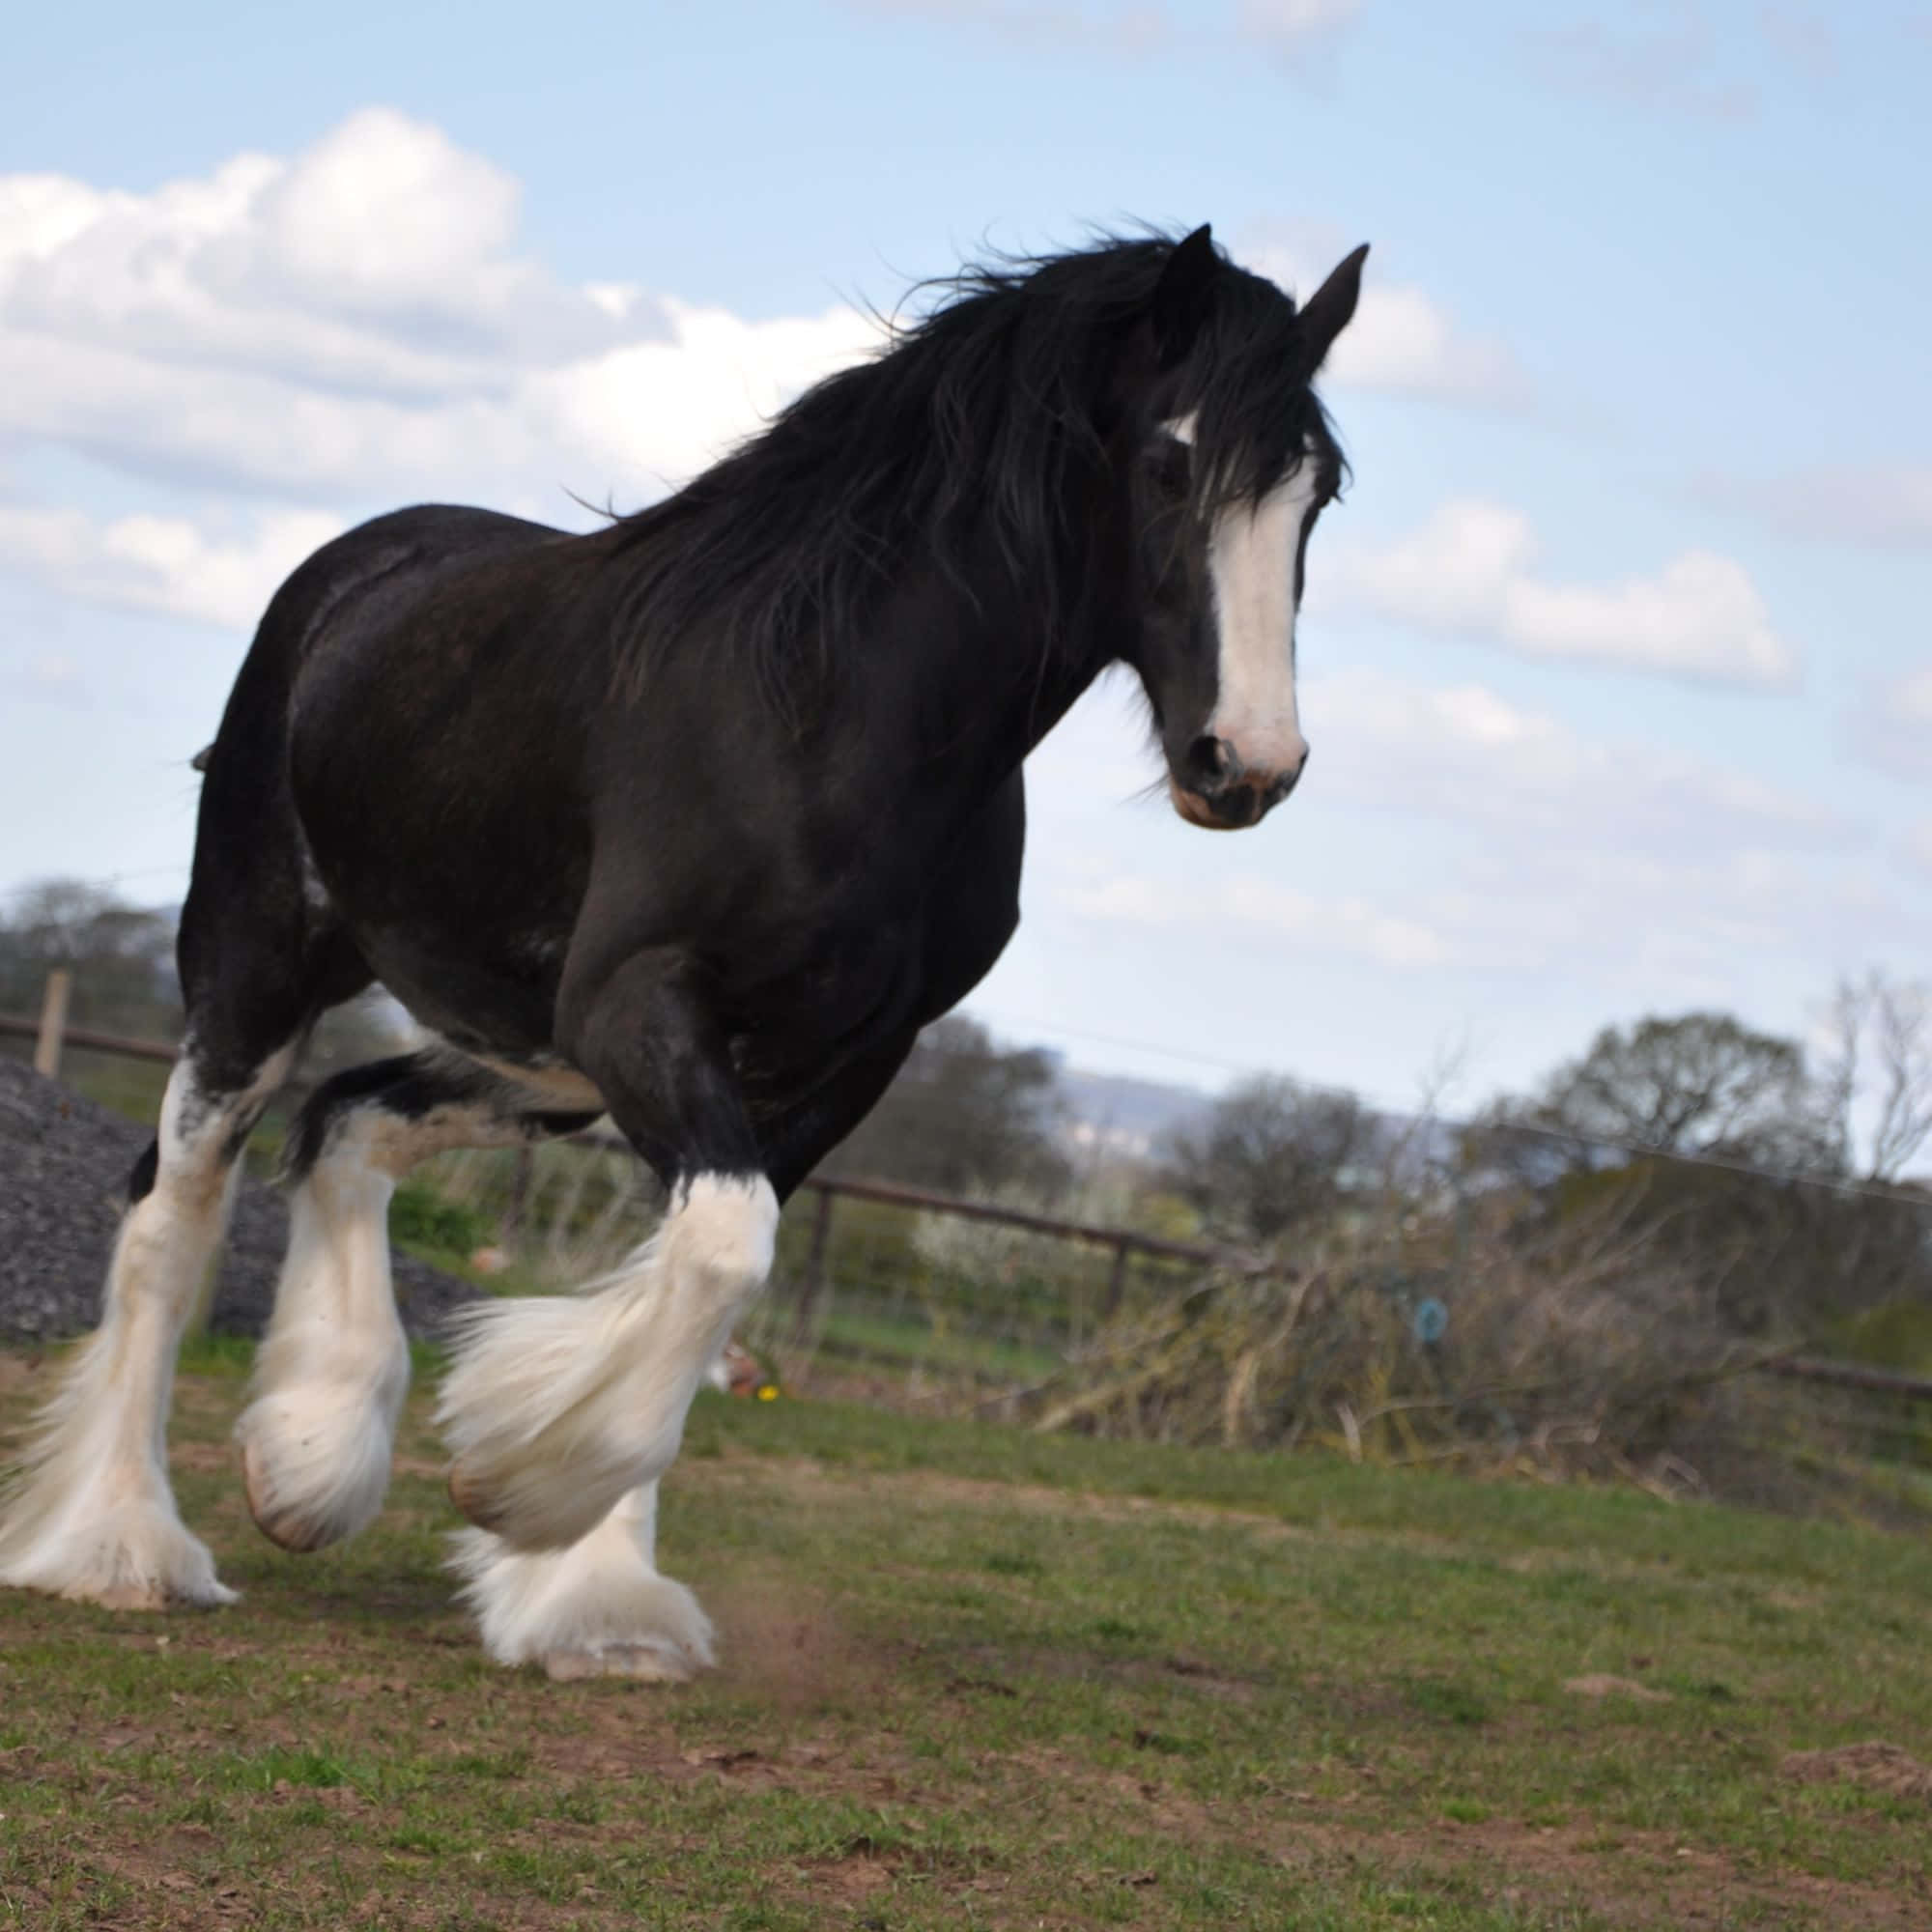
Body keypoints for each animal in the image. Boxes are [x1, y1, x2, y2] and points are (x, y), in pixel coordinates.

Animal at [0, 224, 1365, 1680]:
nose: (1247, 764)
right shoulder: (640, 1006)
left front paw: (595, 1598)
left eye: (1317, 492)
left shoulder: (832, 1063)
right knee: (176, 1214)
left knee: (351, 1122)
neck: (832, 718)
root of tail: (353, 573)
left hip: (533, 1059)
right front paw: (521, 1492)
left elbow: (697, 1279)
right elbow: (715, 1253)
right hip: (260, 968)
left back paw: (309, 1461)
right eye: (1169, 462)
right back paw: (124, 1547)